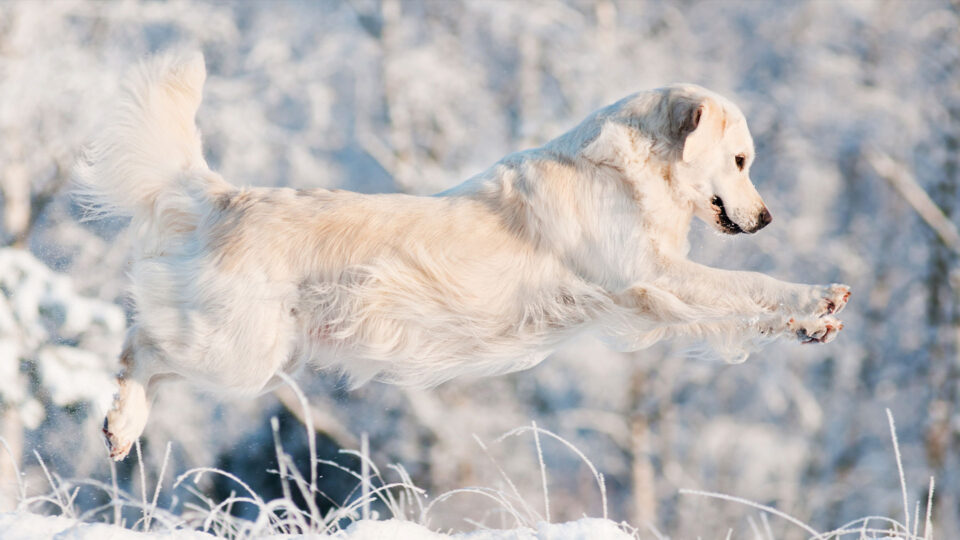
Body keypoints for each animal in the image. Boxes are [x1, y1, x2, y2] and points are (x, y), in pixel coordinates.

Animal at [79, 52, 852, 460]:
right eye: (742, 160)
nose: (765, 217)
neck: (629, 172)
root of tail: (223, 196)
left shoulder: (656, 297)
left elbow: (738, 307)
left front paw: (812, 324)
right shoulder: (649, 278)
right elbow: (748, 282)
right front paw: (814, 297)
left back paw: (123, 429)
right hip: (236, 351)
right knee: (138, 343)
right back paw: (120, 421)